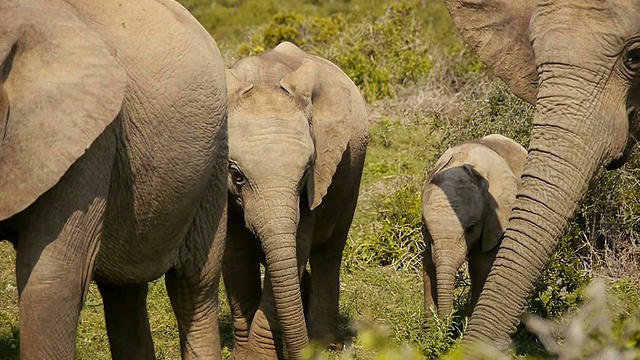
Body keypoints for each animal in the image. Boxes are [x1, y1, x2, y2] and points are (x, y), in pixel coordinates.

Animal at [222, 40, 368, 358]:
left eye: (305, 173)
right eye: (236, 175)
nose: (302, 351)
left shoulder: (315, 185)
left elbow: (297, 249)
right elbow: (235, 255)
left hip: (351, 178)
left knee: (329, 252)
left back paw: (327, 343)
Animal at [420, 134, 524, 324]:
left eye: (471, 229)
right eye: (425, 228)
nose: (445, 322)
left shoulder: (496, 218)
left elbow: (481, 265)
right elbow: (429, 263)